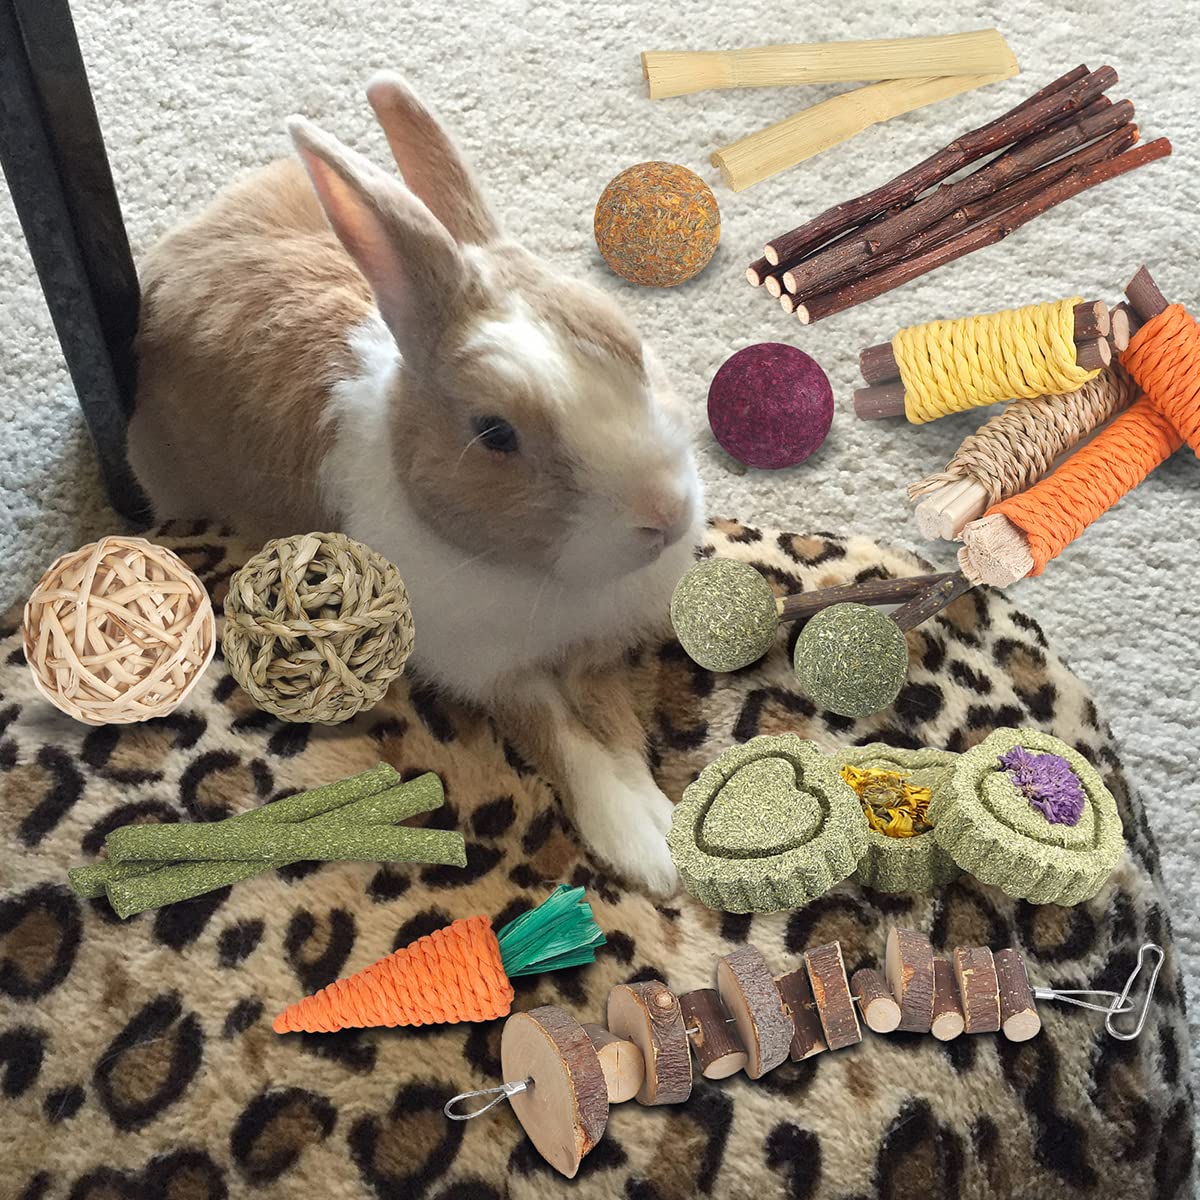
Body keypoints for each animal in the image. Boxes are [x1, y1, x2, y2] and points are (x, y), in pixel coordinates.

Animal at [128, 74, 705, 896]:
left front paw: (660, 825)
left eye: (631, 345)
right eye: (494, 434)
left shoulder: (595, 655)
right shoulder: (493, 672)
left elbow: (614, 723)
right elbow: (562, 736)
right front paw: (640, 844)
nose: (666, 513)